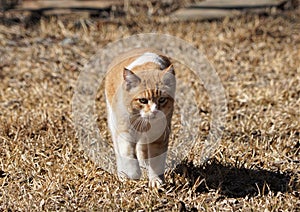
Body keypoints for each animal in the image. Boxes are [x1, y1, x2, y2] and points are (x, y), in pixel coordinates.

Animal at [105, 48, 176, 187]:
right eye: (143, 100)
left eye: (162, 99)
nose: (154, 111)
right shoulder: (125, 130)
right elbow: (127, 153)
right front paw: (133, 173)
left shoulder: (159, 136)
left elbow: (155, 160)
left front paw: (156, 181)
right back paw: (123, 174)